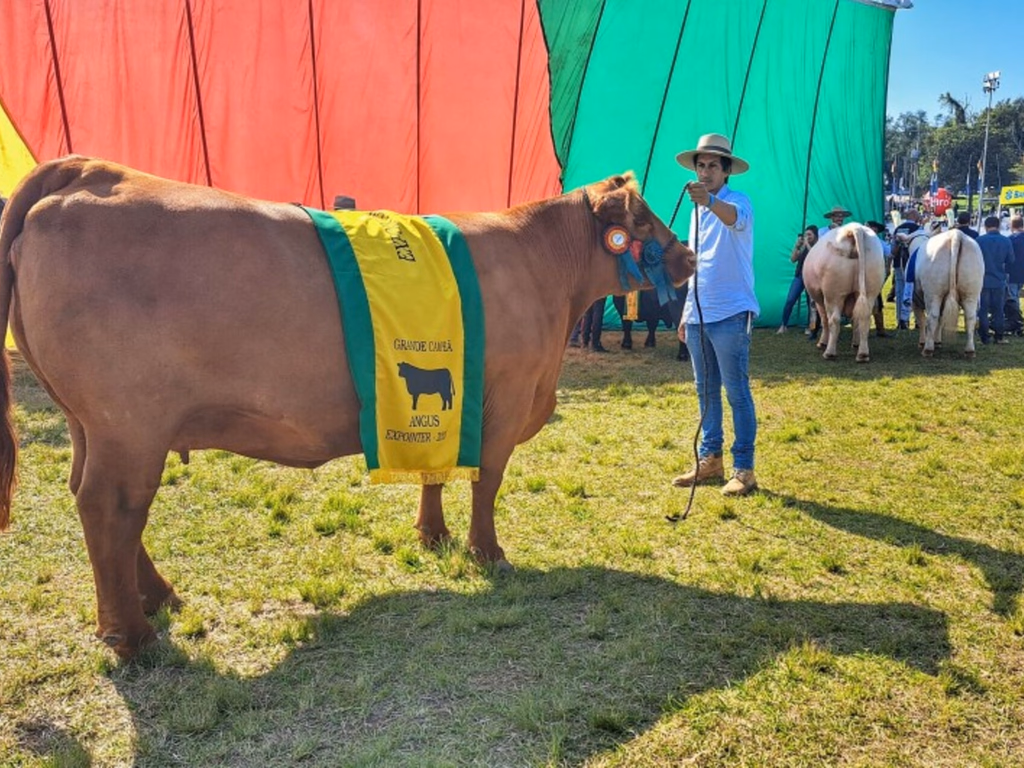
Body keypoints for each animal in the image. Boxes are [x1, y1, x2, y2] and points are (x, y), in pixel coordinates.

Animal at [0, 156, 693, 658]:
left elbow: (438, 470)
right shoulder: (507, 397)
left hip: (91, 424)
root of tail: (92, 170)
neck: (543, 270)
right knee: (111, 508)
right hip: (128, 424)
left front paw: (434, 536)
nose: (687, 255)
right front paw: (487, 553)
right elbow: (486, 481)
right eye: (644, 220)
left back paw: (158, 600)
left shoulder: (452, 404)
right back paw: (133, 635)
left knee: (100, 504)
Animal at [802, 223, 886, 362]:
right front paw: (855, 343)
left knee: (834, 320)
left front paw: (822, 342)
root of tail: (854, 228)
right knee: (864, 317)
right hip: (870, 291)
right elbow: (855, 320)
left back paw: (829, 352)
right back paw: (862, 353)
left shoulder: (819, 298)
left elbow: (824, 320)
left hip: (834, 294)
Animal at [912, 229, 984, 358]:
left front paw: (923, 342)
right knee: (970, 318)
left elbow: (921, 320)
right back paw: (970, 350)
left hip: (933, 293)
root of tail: (956, 235)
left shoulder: (915, 300)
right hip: (971, 292)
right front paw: (937, 341)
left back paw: (928, 349)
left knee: (932, 317)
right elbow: (941, 320)